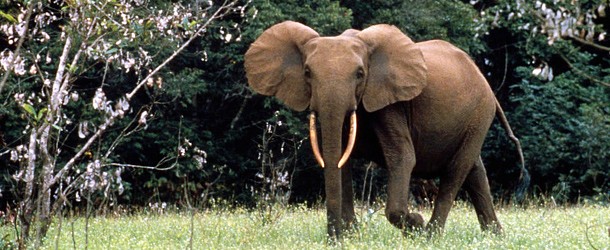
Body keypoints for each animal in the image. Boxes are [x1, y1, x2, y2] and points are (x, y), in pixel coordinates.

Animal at [242, 21, 524, 238]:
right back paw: (495, 236)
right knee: (475, 171)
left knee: (457, 169)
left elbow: (403, 157)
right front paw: (351, 235)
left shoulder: (391, 105)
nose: (332, 237)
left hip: (480, 113)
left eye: (360, 73)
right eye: (308, 72)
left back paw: (430, 235)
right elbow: (338, 158)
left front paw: (415, 223)